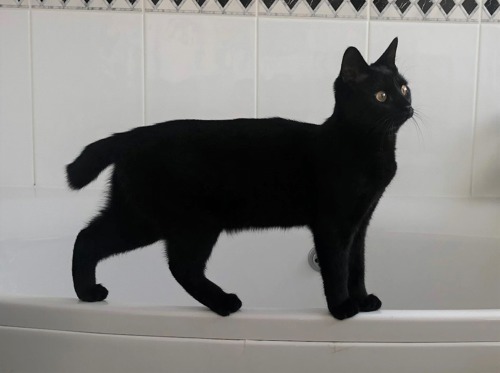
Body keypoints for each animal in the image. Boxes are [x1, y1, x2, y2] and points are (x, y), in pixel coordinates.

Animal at [67, 36, 410, 318]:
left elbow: (357, 265)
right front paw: (342, 308)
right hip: (189, 223)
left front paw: (363, 300)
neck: (373, 147)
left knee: (89, 237)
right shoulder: (333, 225)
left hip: (140, 217)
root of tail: (132, 135)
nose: (407, 105)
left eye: (404, 87)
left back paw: (88, 293)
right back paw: (224, 302)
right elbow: (337, 267)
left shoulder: (360, 223)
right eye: (381, 96)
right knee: (180, 266)